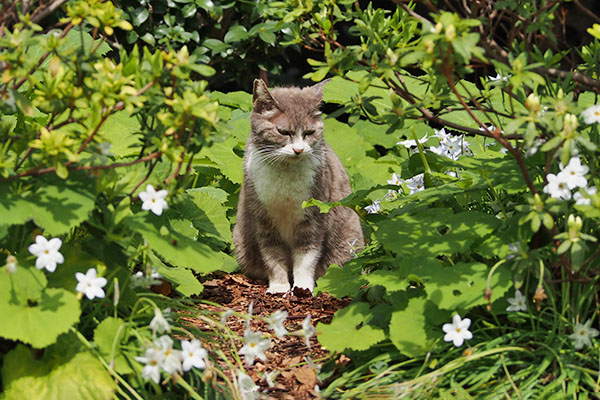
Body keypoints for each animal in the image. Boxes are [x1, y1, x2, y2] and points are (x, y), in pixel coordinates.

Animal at [232, 78, 364, 292]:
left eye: (309, 132)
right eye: (283, 132)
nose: (298, 149)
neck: (285, 173)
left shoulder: (314, 215)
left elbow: (306, 255)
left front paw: (302, 288)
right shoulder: (263, 219)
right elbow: (272, 256)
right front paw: (279, 287)